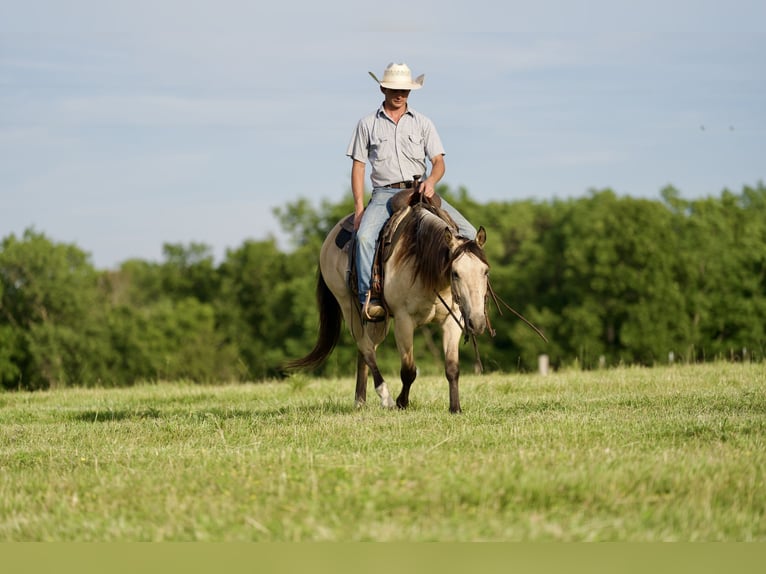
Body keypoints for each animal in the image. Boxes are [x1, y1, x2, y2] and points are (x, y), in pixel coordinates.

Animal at [284, 195, 488, 414]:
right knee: (365, 346)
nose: (477, 322)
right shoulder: (403, 321)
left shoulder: (452, 320)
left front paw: (455, 408)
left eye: (485, 271)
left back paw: (360, 400)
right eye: (455, 273)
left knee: (367, 350)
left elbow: (452, 368)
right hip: (348, 306)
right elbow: (409, 370)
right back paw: (385, 397)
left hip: (378, 320)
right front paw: (401, 403)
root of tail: (329, 238)